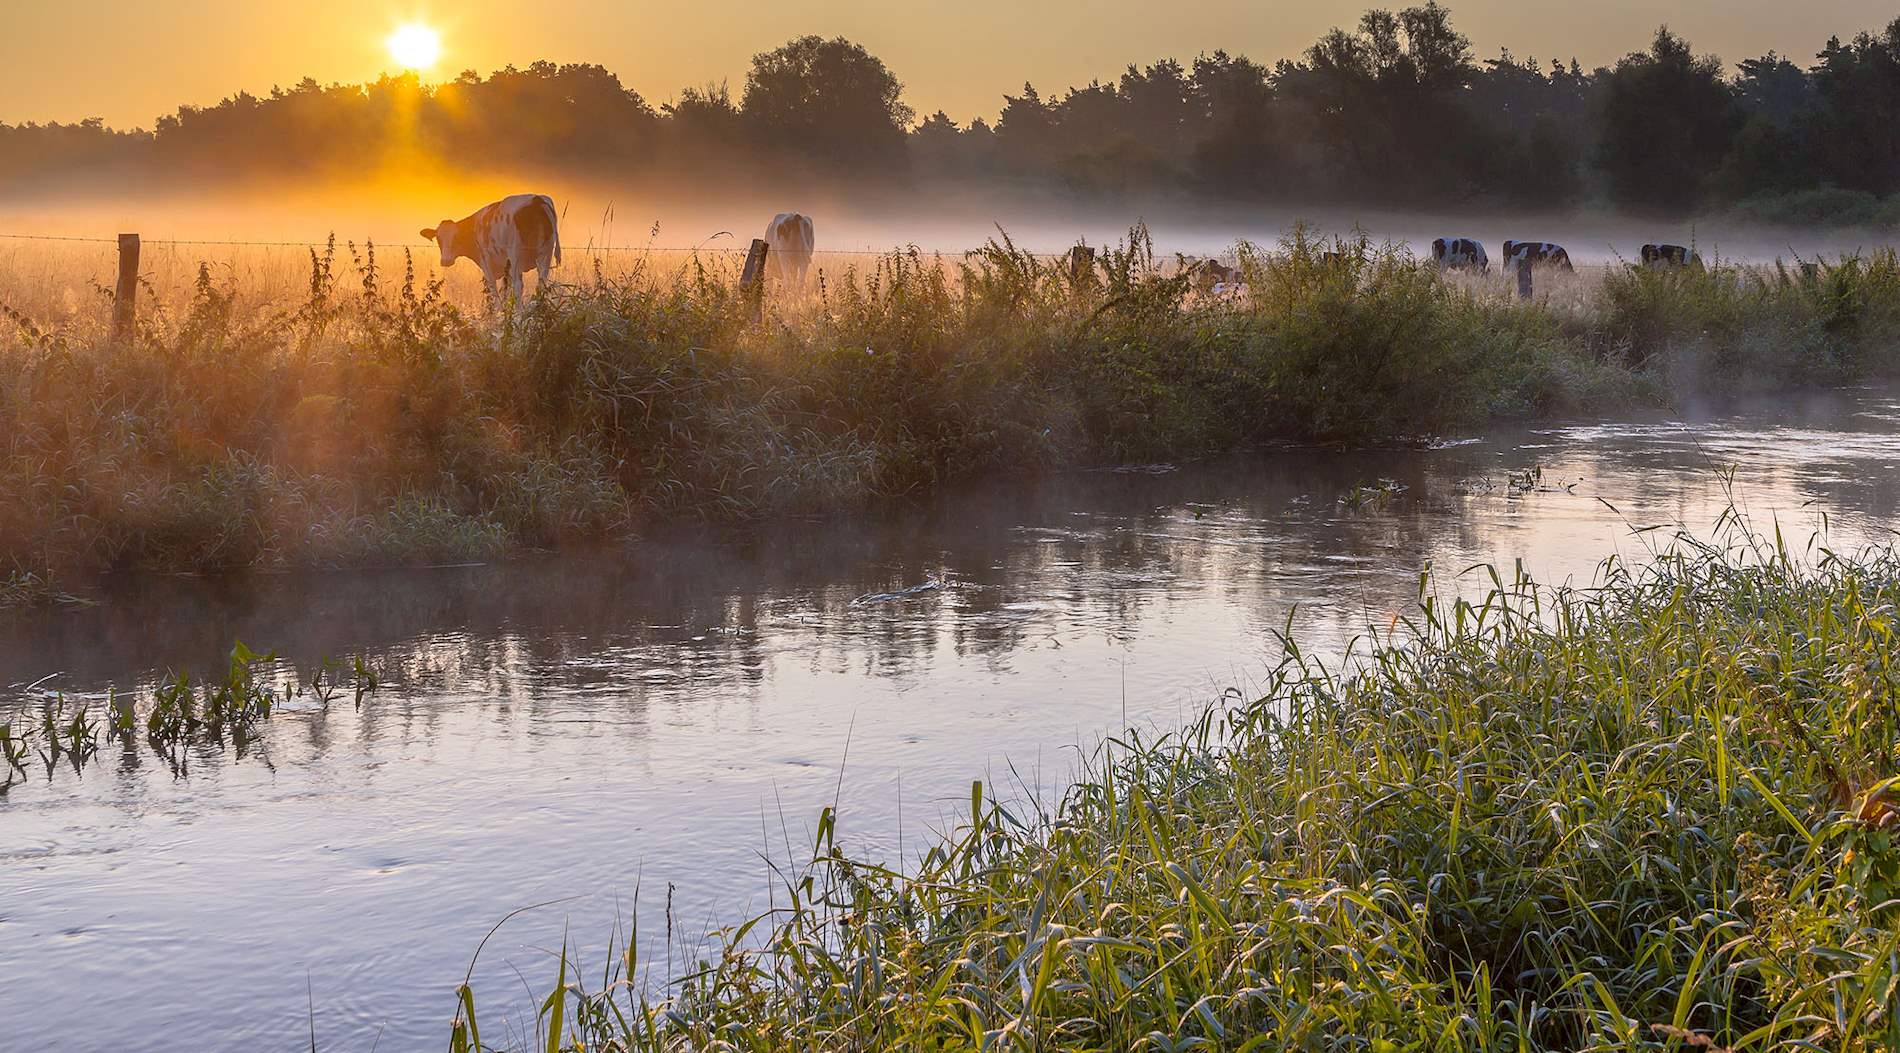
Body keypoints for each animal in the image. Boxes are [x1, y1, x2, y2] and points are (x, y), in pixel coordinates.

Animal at [421, 193, 558, 298]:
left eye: (456, 238)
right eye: (438, 239)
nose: (445, 260)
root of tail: (536, 199)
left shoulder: (486, 263)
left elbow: (494, 289)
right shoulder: (505, 268)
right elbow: (505, 291)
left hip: (516, 254)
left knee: (518, 286)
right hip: (546, 253)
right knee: (541, 284)